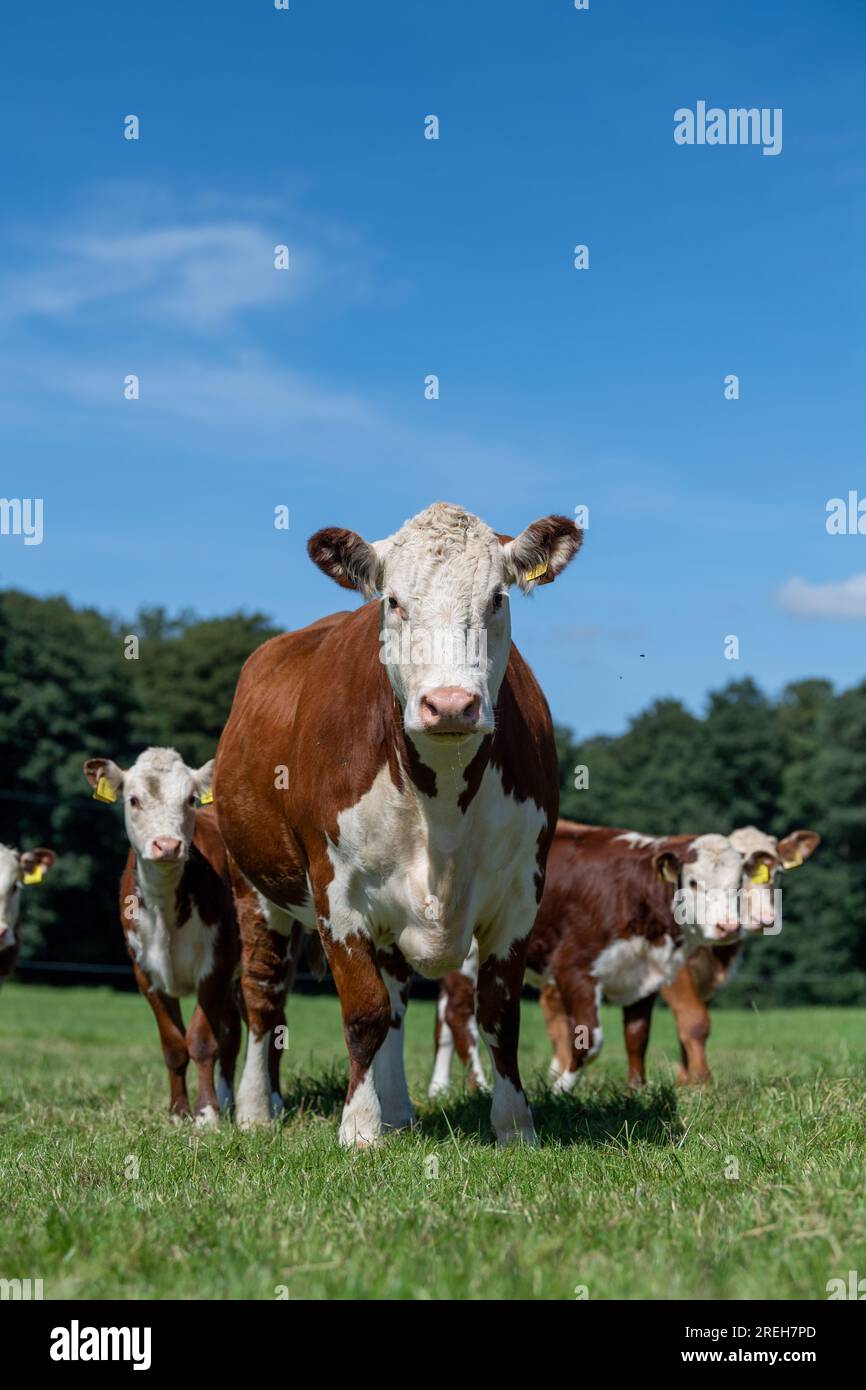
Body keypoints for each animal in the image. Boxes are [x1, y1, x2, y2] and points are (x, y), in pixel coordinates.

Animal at [83, 747, 242, 1125]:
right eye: (134, 799)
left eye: (190, 799)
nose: (168, 845)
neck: (166, 912)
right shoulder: (145, 972)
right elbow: (173, 1044)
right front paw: (178, 1111)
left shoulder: (217, 964)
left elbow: (202, 1040)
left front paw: (206, 1113)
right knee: (232, 1032)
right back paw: (228, 1099)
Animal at [215, 501, 582, 1147]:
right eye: (393, 601)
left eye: (497, 598)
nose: (451, 704)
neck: (443, 801)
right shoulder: (336, 891)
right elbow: (362, 1011)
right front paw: (359, 1130)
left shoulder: (521, 893)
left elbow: (497, 1015)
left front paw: (515, 1127)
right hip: (251, 885)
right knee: (264, 994)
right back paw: (257, 1109)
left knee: (395, 999)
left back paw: (400, 1110)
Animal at [429, 819, 781, 1095]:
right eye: (693, 882)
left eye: (739, 882)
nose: (728, 926)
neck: (633, 893)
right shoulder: (574, 968)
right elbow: (590, 1040)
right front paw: (560, 1089)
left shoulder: (644, 975)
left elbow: (637, 1036)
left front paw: (636, 1091)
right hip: (468, 954)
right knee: (459, 1016)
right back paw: (479, 1085)